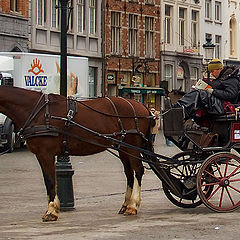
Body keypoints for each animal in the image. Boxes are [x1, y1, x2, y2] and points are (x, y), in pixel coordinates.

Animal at [0, 86, 153, 221]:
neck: (38, 112)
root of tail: (142, 106)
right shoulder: (41, 154)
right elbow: (48, 180)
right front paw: (53, 208)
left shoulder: (46, 153)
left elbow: (50, 180)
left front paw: (51, 211)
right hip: (123, 148)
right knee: (129, 174)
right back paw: (125, 204)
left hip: (133, 146)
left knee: (138, 170)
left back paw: (132, 206)